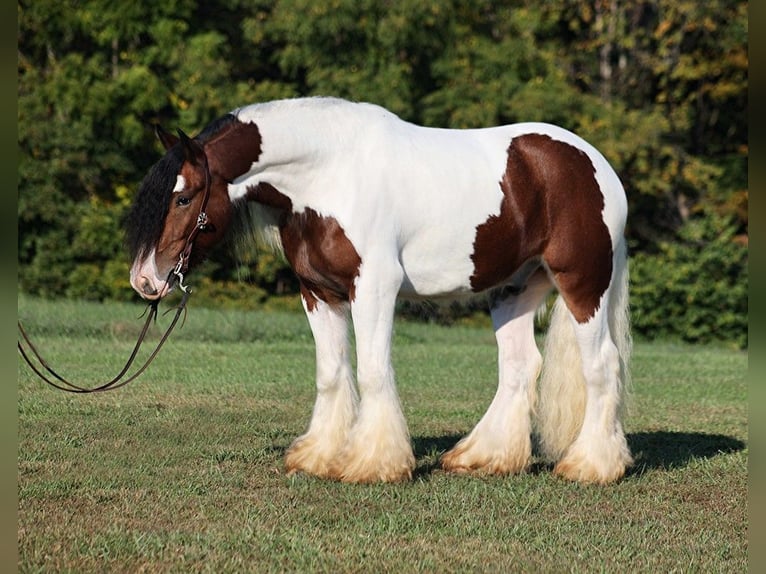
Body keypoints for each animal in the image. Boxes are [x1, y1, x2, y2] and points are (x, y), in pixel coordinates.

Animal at [126, 98, 632, 486]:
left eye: (184, 198)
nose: (145, 281)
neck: (329, 172)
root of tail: (596, 166)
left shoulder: (373, 289)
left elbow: (372, 372)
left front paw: (373, 463)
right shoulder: (318, 292)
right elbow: (331, 373)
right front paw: (318, 457)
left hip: (583, 283)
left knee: (601, 365)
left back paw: (590, 466)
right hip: (513, 290)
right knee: (520, 365)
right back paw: (482, 458)